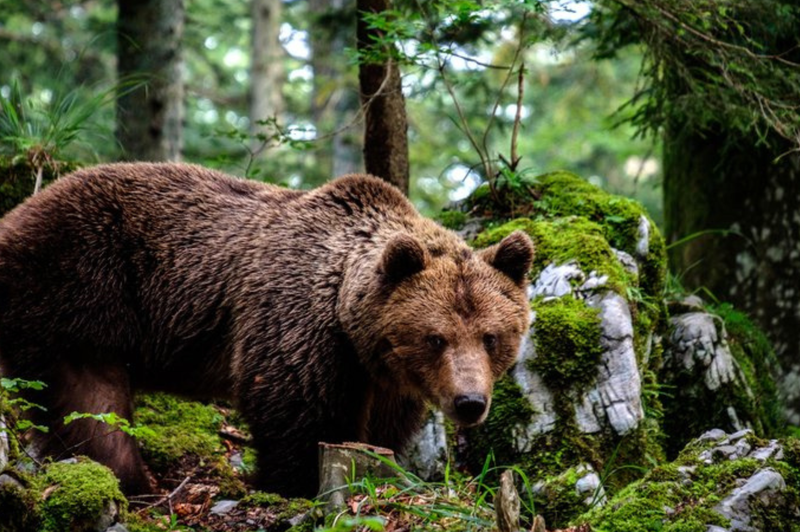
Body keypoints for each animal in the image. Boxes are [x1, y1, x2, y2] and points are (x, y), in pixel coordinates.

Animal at [0, 163, 532, 498]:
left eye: (491, 337)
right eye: (436, 337)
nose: (469, 402)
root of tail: (19, 211)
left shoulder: (383, 376)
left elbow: (384, 430)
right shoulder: (296, 321)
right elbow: (293, 408)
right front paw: (292, 483)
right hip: (78, 285)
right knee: (94, 407)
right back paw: (132, 483)